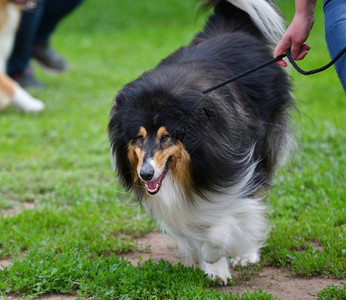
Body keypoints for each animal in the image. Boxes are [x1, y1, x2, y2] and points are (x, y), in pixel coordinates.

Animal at [107, 0, 292, 282]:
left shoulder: (235, 169)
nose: (145, 174)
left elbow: (225, 221)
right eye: (138, 138)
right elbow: (194, 224)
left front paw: (215, 255)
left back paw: (246, 253)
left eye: (166, 137)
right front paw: (214, 268)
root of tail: (229, 26)